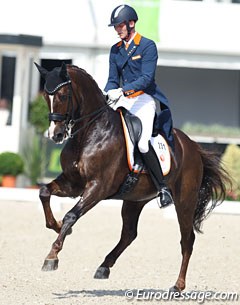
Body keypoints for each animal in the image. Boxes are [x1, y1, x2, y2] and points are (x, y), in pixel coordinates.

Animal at [34, 62, 230, 292]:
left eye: (63, 95)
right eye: (46, 97)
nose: (55, 135)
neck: (90, 133)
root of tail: (193, 146)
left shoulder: (98, 187)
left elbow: (71, 215)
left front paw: (52, 256)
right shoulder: (73, 184)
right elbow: (44, 192)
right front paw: (56, 226)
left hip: (185, 201)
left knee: (187, 239)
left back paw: (178, 286)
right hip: (135, 200)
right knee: (129, 234)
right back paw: (104, 267)